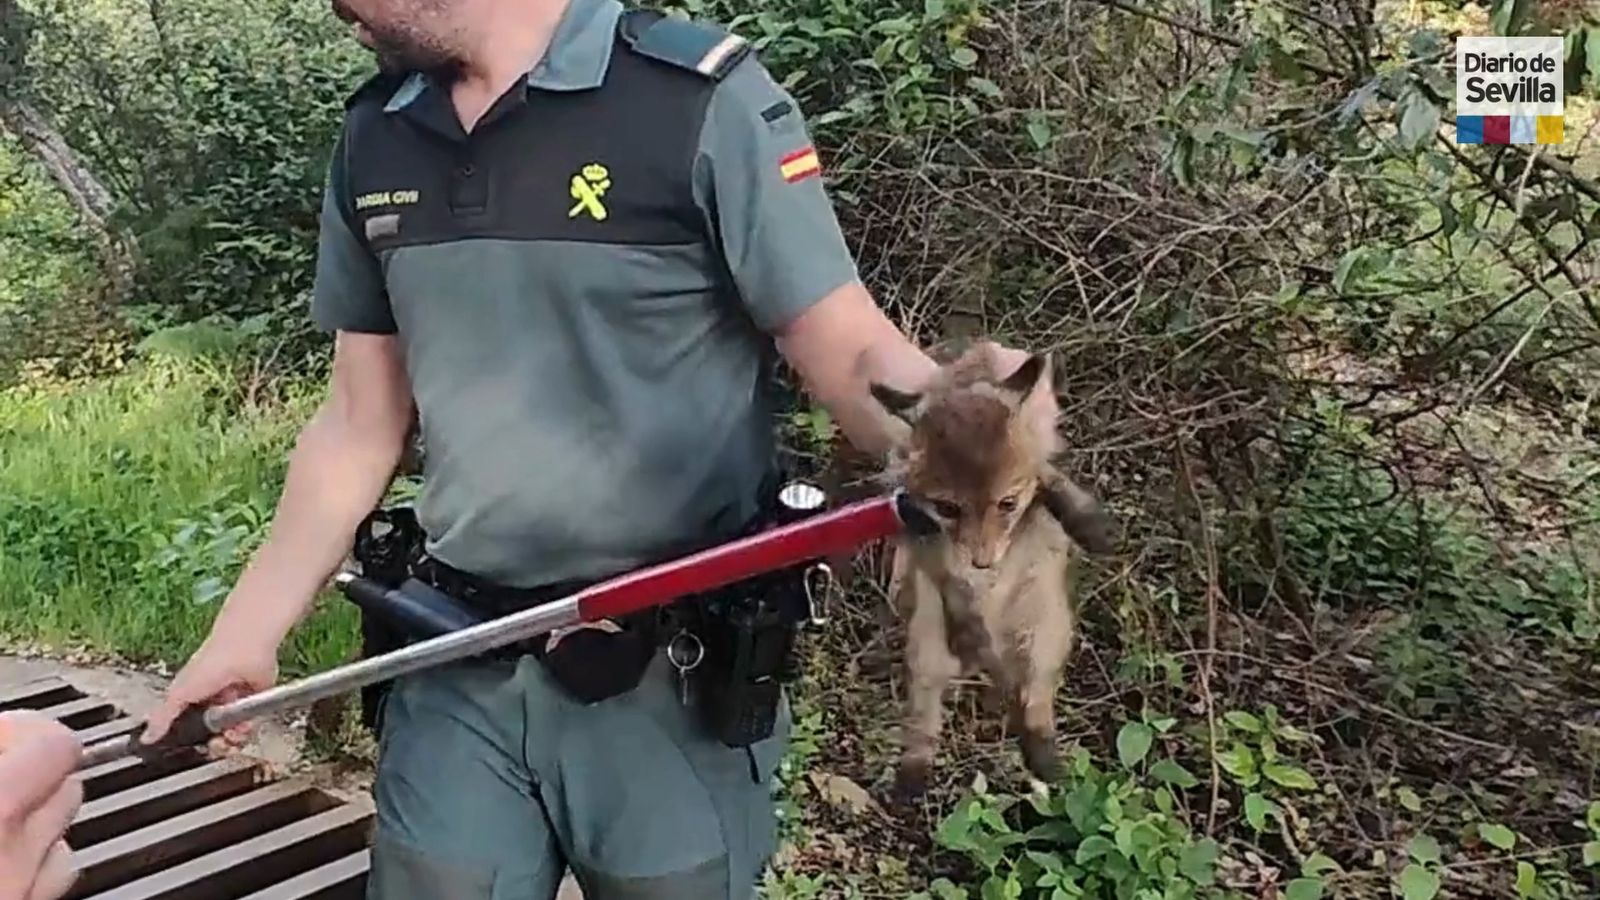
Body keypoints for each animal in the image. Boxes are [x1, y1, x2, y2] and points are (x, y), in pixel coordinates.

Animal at [864, 344, 1113, 798]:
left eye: (1007, 504)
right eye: (947, 507)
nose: (982, 562)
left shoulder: (1039, 458)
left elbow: (1050, 477)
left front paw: (1091, 524)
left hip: (1044, 634)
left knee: (1034, 701)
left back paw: (1044, 757)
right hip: (927, 649)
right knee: (924, 717)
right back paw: (911, 776)